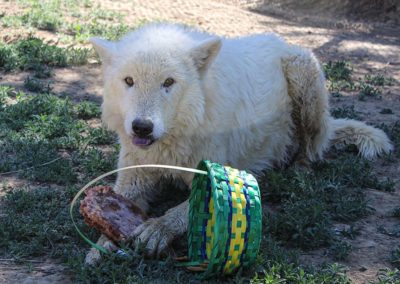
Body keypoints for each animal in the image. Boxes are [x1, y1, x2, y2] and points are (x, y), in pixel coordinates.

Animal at [85, 23, 394, 262]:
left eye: (168, 82)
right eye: (129, 81)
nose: (142, 127)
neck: (177, 135)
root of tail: (279, 41)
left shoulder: (216, 181)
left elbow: (181, 210)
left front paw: (158, 228)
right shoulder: (135, 175)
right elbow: (117, 202)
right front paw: (101, 243)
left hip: (303, 78)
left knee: (312, 149)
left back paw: (298, 170)